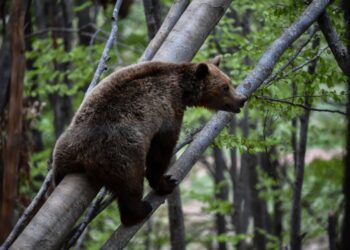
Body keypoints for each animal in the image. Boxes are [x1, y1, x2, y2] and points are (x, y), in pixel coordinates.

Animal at [53, 57, 247, 227]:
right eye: (224, 87)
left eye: (230, 82)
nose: (241, 99)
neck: (182, 91)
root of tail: (83, 152)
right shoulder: (167, 110)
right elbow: (162, 149)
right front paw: (167, 181)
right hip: (121, 151)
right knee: (131, 183)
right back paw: (140, 209)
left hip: (64, 150)